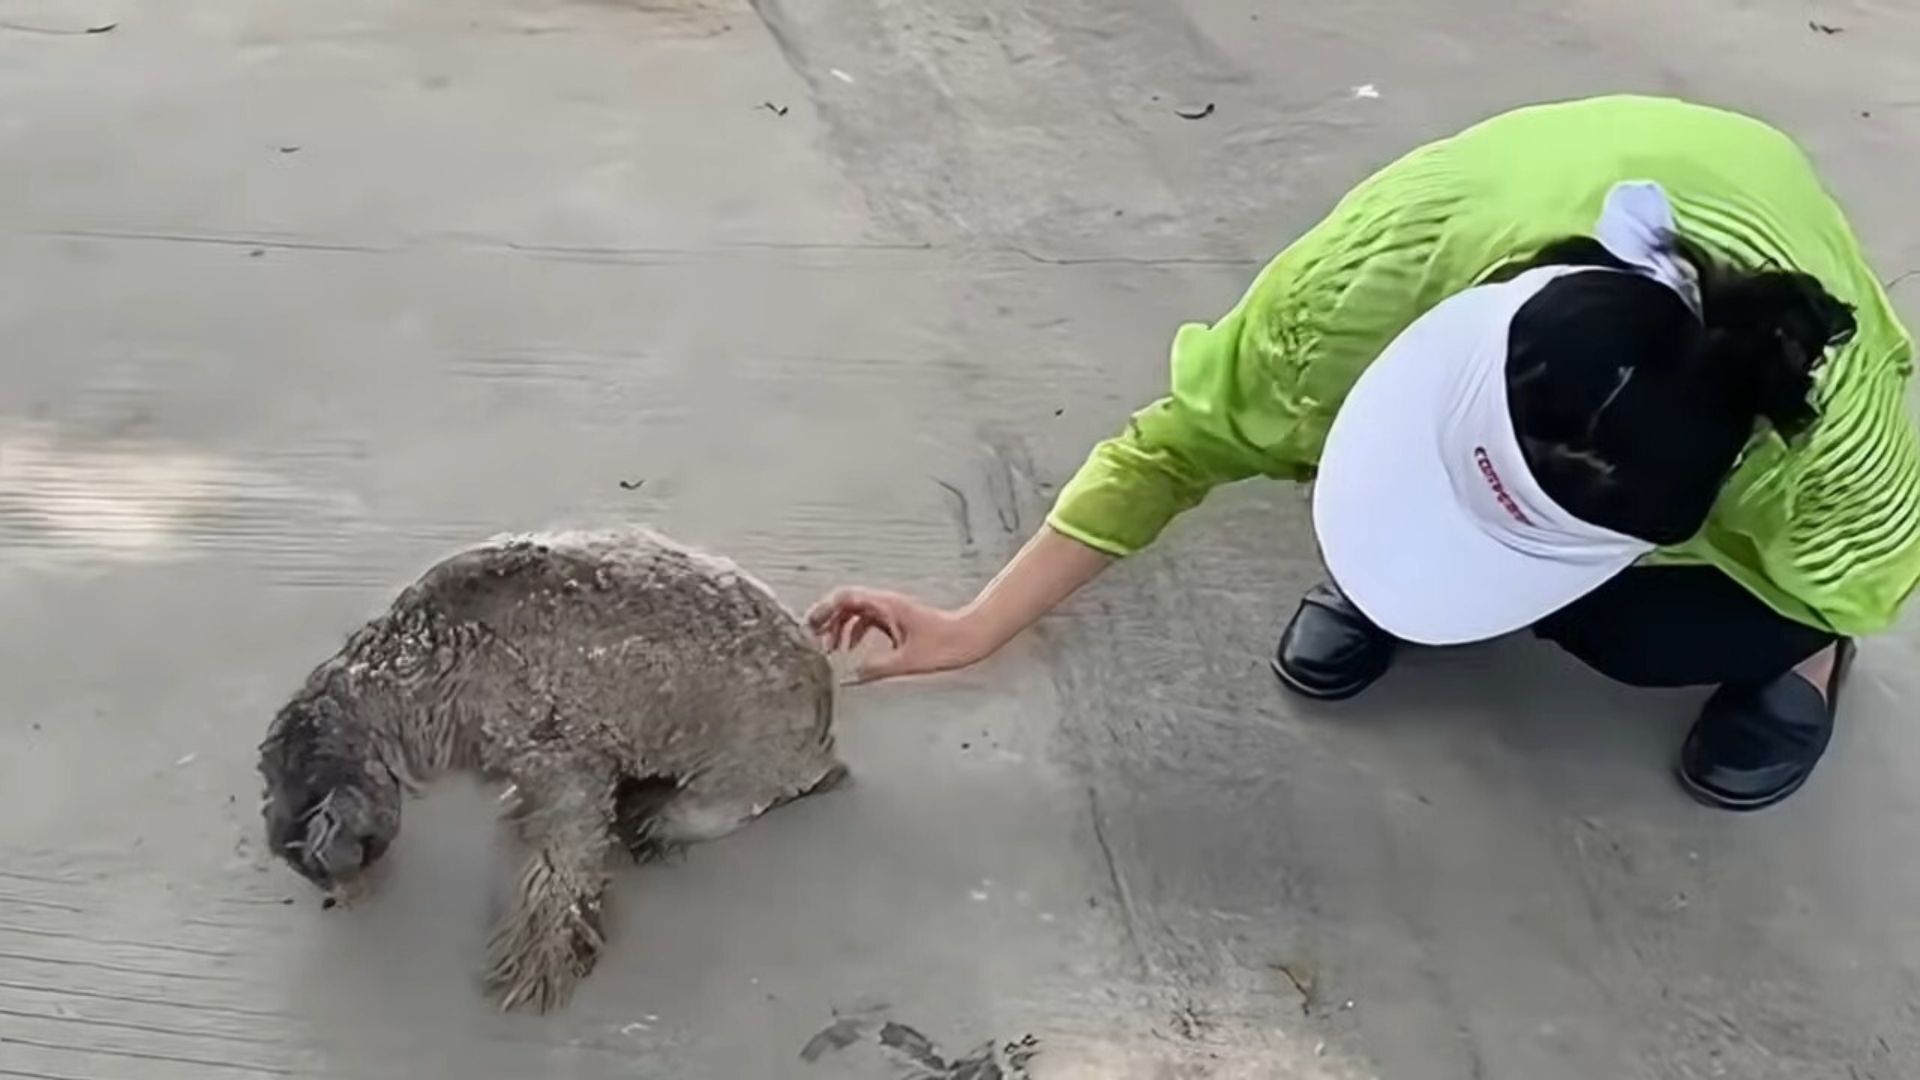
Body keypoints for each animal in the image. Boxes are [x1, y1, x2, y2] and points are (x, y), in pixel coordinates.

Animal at [259, 530, 844, 1006]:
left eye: (317, 865)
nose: (339, 896)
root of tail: (823, 733)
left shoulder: (557, 752)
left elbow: (562, 865)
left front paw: (542, 956)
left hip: (743, 766)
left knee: (721, 805)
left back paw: (656, 818)